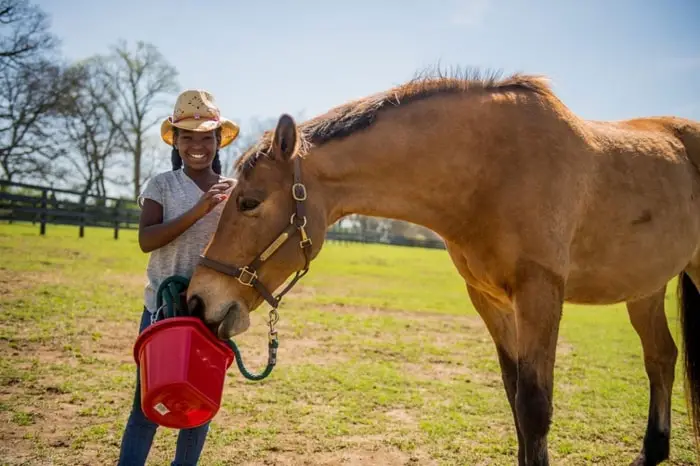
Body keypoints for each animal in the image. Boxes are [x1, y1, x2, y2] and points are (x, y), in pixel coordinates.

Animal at [186, 69, 700, 466]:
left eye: (249, 202)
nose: (197, 298)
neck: (493, 168)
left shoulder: (540, 293)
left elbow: (535, 406)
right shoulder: (490, 299)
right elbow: (515, 396)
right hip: (645, 289)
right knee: (661, 358)